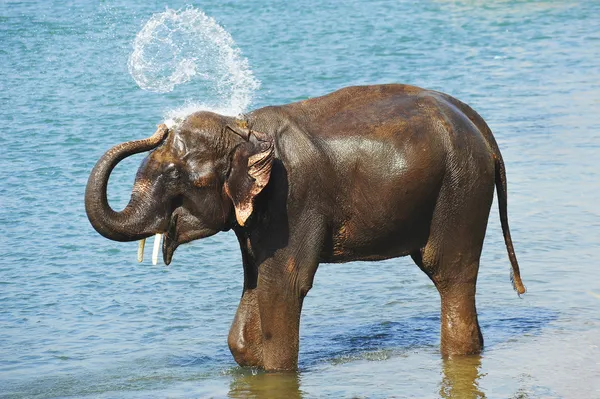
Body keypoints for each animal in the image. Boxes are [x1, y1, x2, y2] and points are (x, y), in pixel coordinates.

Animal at [85, 83, 524, 372]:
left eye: (177, 176)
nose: (159, 127)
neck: (245, 127)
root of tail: (479, 124)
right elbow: (254, 286)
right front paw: (251, 358)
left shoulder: (292, 201)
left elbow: (284, 285)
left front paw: (275, 372)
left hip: (461, 188)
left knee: (449, 273)